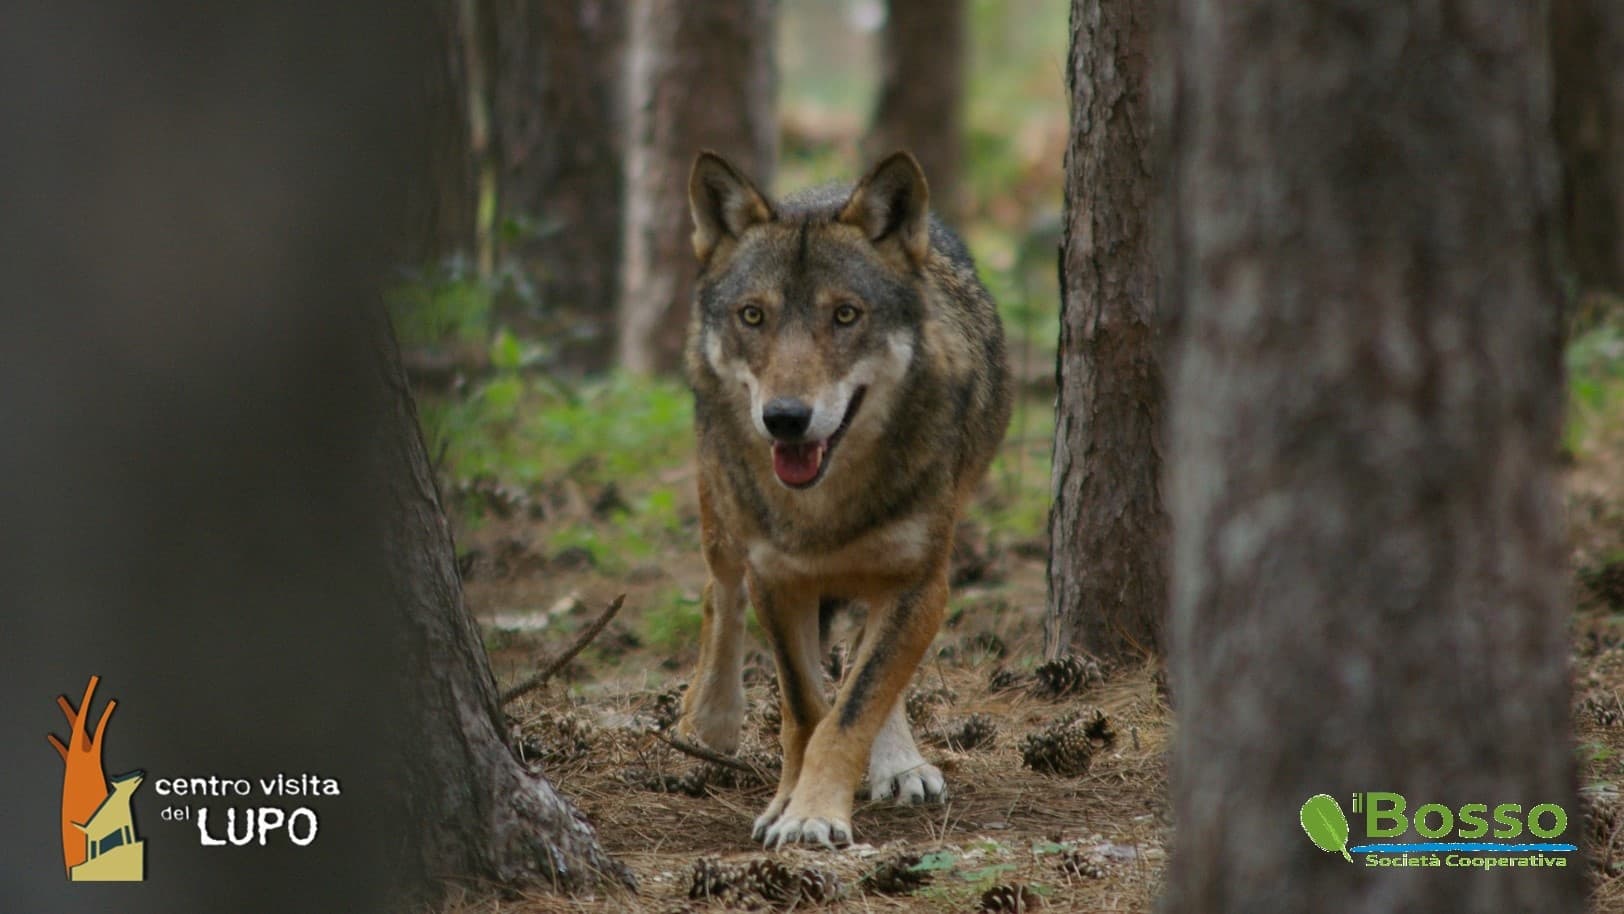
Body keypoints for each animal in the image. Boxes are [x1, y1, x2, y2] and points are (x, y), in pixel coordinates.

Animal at [674, 149, 1012, 849]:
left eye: (846, 315)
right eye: (754, 315)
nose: (784, 419)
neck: (823, 510)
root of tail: (824, 187)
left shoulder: (921, 582)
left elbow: (855, 704)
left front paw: (814, 812)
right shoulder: (776, 581)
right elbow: (805, 709)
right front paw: (787, 804)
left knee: (869, 662)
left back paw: (901, 763)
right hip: (722, 515)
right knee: (719, 593)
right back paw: (709, 720)